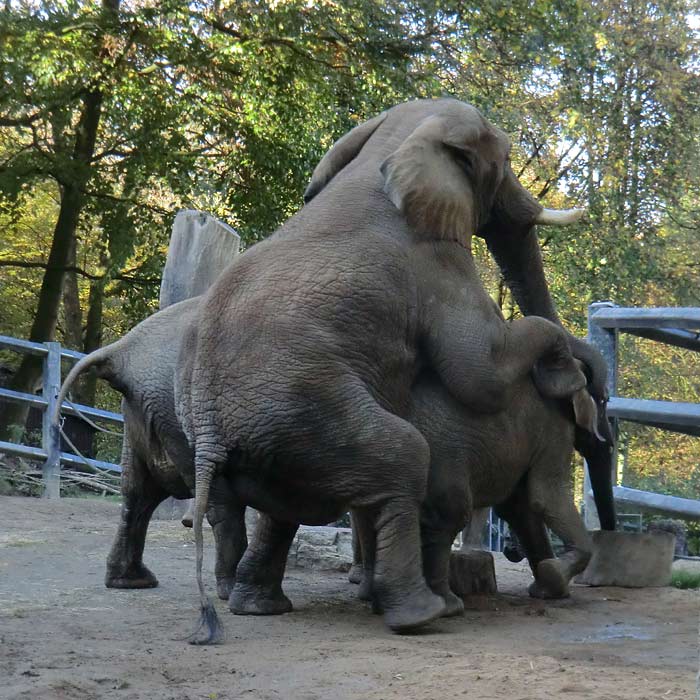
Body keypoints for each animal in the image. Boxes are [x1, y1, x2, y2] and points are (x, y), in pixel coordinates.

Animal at [54, 296, 246, 600]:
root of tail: (123, 349)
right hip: (178, 405)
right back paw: (231, 589)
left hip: (144, 407)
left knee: (139, 492)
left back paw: (131, 581)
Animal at [178, 97, 600, 640]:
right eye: (503, 159)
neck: (390, 145)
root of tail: (210, 436)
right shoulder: (436, 263)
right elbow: (479, 374)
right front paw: (563, 373)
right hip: (306, 411)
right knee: (403, 458)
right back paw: (421, 614)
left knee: (284, 510)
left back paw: (260, 607)